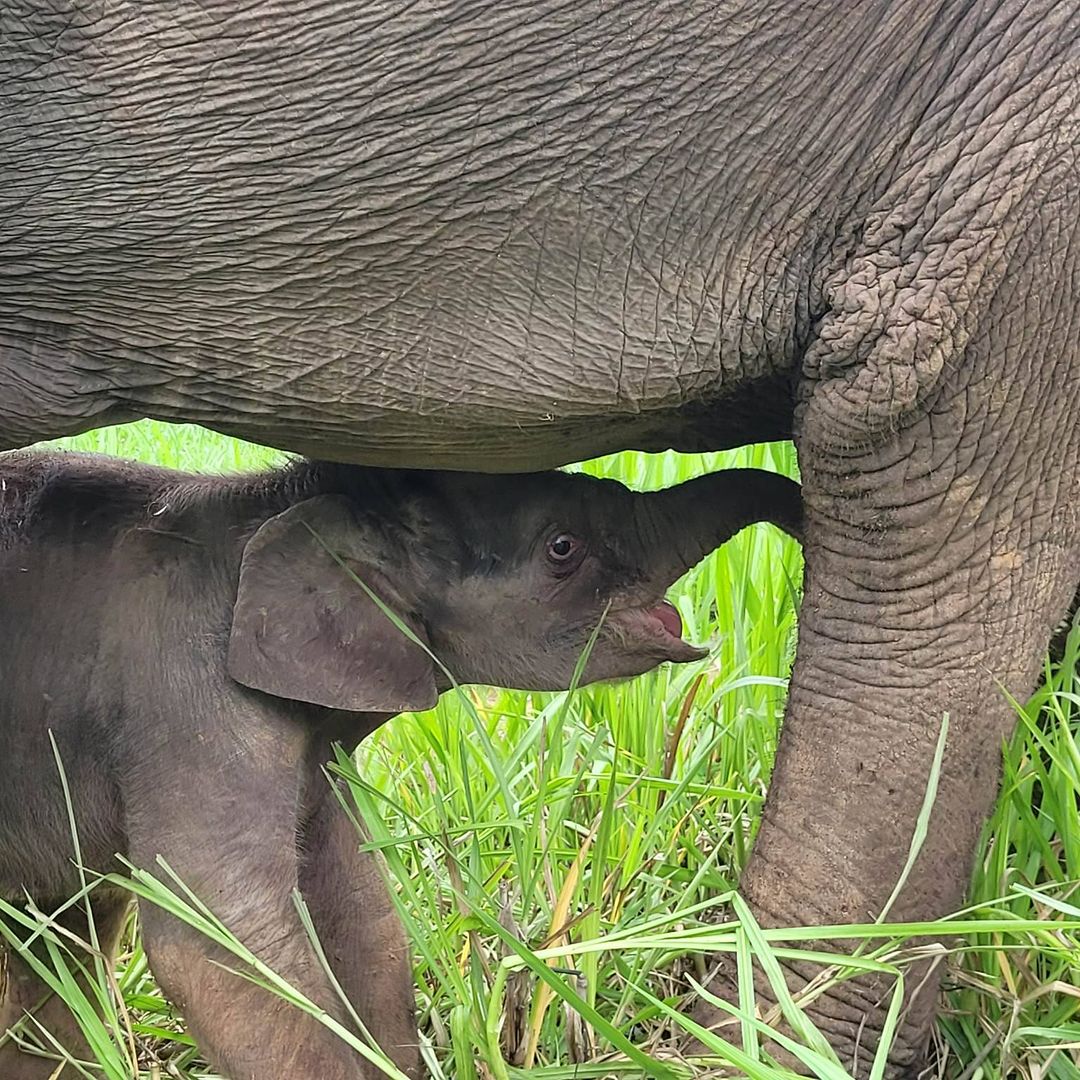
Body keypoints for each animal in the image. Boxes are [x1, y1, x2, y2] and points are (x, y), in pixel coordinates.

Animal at [0, 447, 803, 1080]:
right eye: (563, 546)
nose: (799, 510)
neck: (272, 500)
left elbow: (359, 909)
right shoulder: (182, 699)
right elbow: (220, 940)